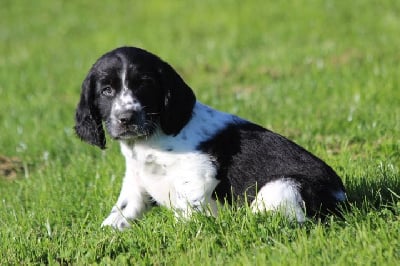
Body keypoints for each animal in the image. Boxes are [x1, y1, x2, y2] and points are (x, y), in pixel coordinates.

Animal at [75, 46, 346, 230]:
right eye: (106, 91)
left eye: (144, 84)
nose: (126, 118)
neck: (148, 141)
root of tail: (342, 199)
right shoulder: (136, 184)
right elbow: (120, 214)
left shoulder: (197, 173)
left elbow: (186, 214)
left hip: (282, 188)